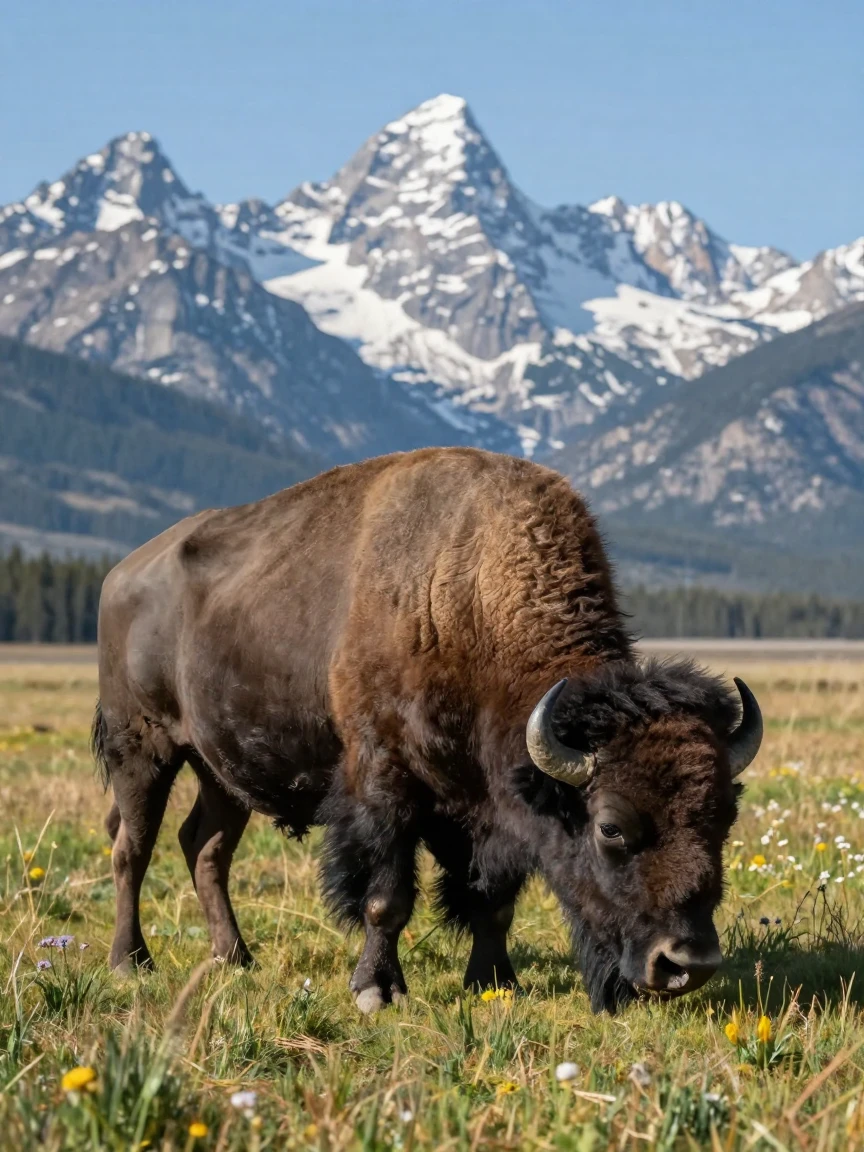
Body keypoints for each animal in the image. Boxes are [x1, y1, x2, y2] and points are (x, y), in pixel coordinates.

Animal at [92, 448, 761, 1013]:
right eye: (611, 828)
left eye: (725, 817)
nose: (687, 963)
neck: (470, 596)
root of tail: (121, 574)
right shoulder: (386, 784)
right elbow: (387, 898)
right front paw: (377, 990)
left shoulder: (490, 810)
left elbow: (493, 901)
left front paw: (495, 982)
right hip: (143, 748)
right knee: (133, 848)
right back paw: (131, 962)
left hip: (220, 770)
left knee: (205, 848)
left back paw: (235, 958)